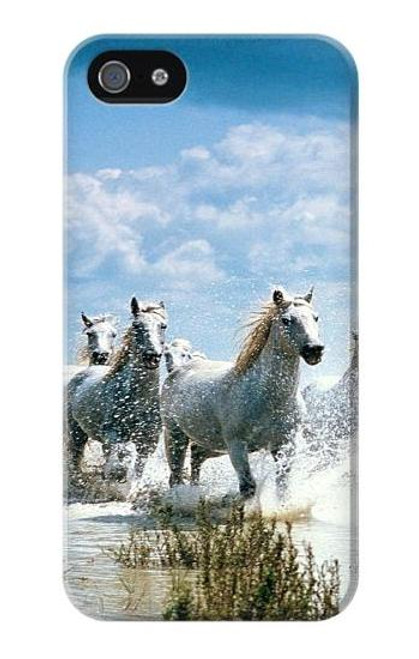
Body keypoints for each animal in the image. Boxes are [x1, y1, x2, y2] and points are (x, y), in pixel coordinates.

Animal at [66, 297, 167, 497]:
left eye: (163, 326)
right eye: (136, 325)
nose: (152, 356)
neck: (138, 400)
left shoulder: (148, 440)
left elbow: (139, 468)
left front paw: (132, 491)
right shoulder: (112, 433)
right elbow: (121, 457)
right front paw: (115, 477)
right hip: (76, 430)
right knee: (76, 454)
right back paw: (78, 483)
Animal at [161, 286, 324, 499]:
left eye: (316, 317)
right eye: (286, 320)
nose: (315, 350)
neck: (267, 397)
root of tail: (177, 371)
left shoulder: (285, 444)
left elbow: (282, 486)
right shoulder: (236, 445)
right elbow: (248, 487)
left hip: (211, 445)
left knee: (196, 458)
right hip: (175, 435)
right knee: (176, 476)